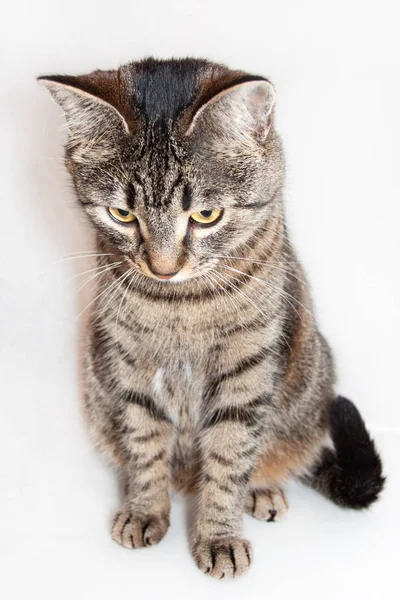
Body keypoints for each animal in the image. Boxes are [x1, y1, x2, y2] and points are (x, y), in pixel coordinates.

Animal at [39, 58, 384, 580]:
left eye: (207, 215)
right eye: (122, 215)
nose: (162, 268)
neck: (181, 305)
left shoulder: (247, 371)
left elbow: (228, 458)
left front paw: (219, 537)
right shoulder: (130, 362)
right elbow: (144, 443)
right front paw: (144, 509)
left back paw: (263, 491)